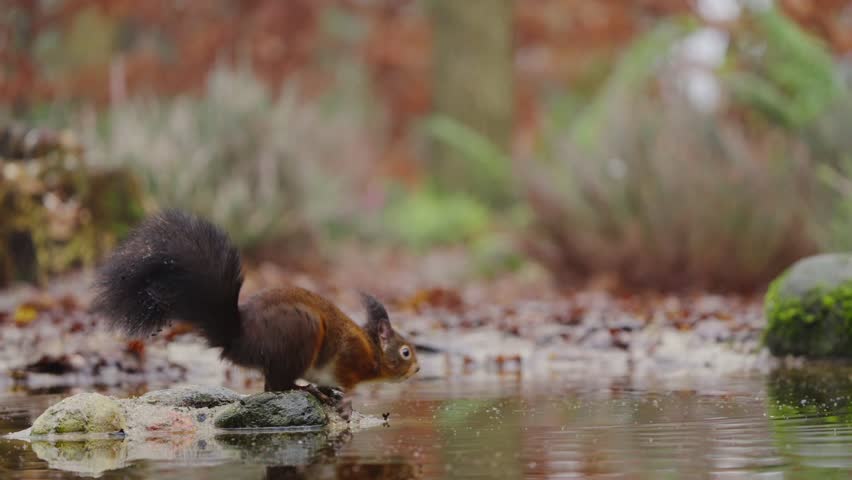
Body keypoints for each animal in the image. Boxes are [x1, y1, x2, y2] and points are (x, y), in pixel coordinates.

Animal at [91, 210, 420, 395]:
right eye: (405, 352)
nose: (417, 370)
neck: (373, 352)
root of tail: (239, 338)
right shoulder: (349, 356)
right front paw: (343, 400)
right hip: (301, 332)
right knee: (278, 385)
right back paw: (308, 390)